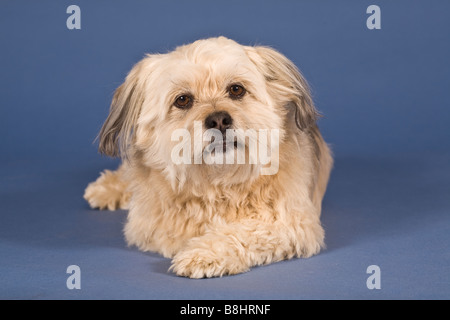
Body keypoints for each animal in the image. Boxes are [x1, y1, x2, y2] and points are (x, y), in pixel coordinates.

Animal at [84, 37, 332, 278]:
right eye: (182, 100)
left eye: (236, 89)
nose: (219, 120)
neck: (218, 184)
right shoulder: (149, 226)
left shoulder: (292, 223)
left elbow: (244, 231)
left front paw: (204, 253)